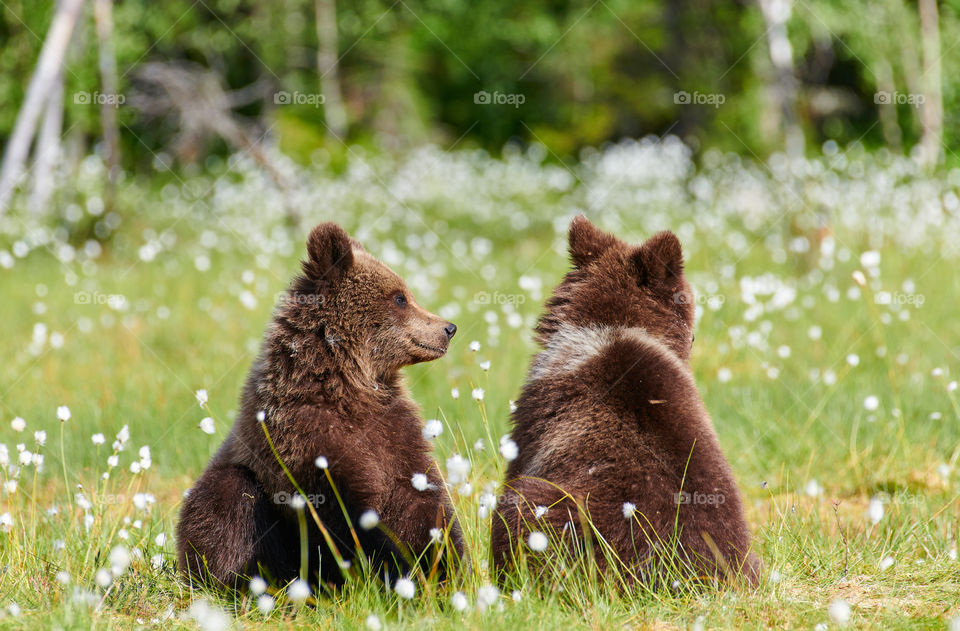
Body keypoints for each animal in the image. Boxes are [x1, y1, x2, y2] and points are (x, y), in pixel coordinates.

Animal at [177, 222, 464, 590]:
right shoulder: (304, 435)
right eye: (399, 297)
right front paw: (383, 568)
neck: (348, 385)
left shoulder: (394, 431)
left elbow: (421, 498)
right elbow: (340, 509)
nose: (448, 328)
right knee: (228, 504)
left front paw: (442, 566)